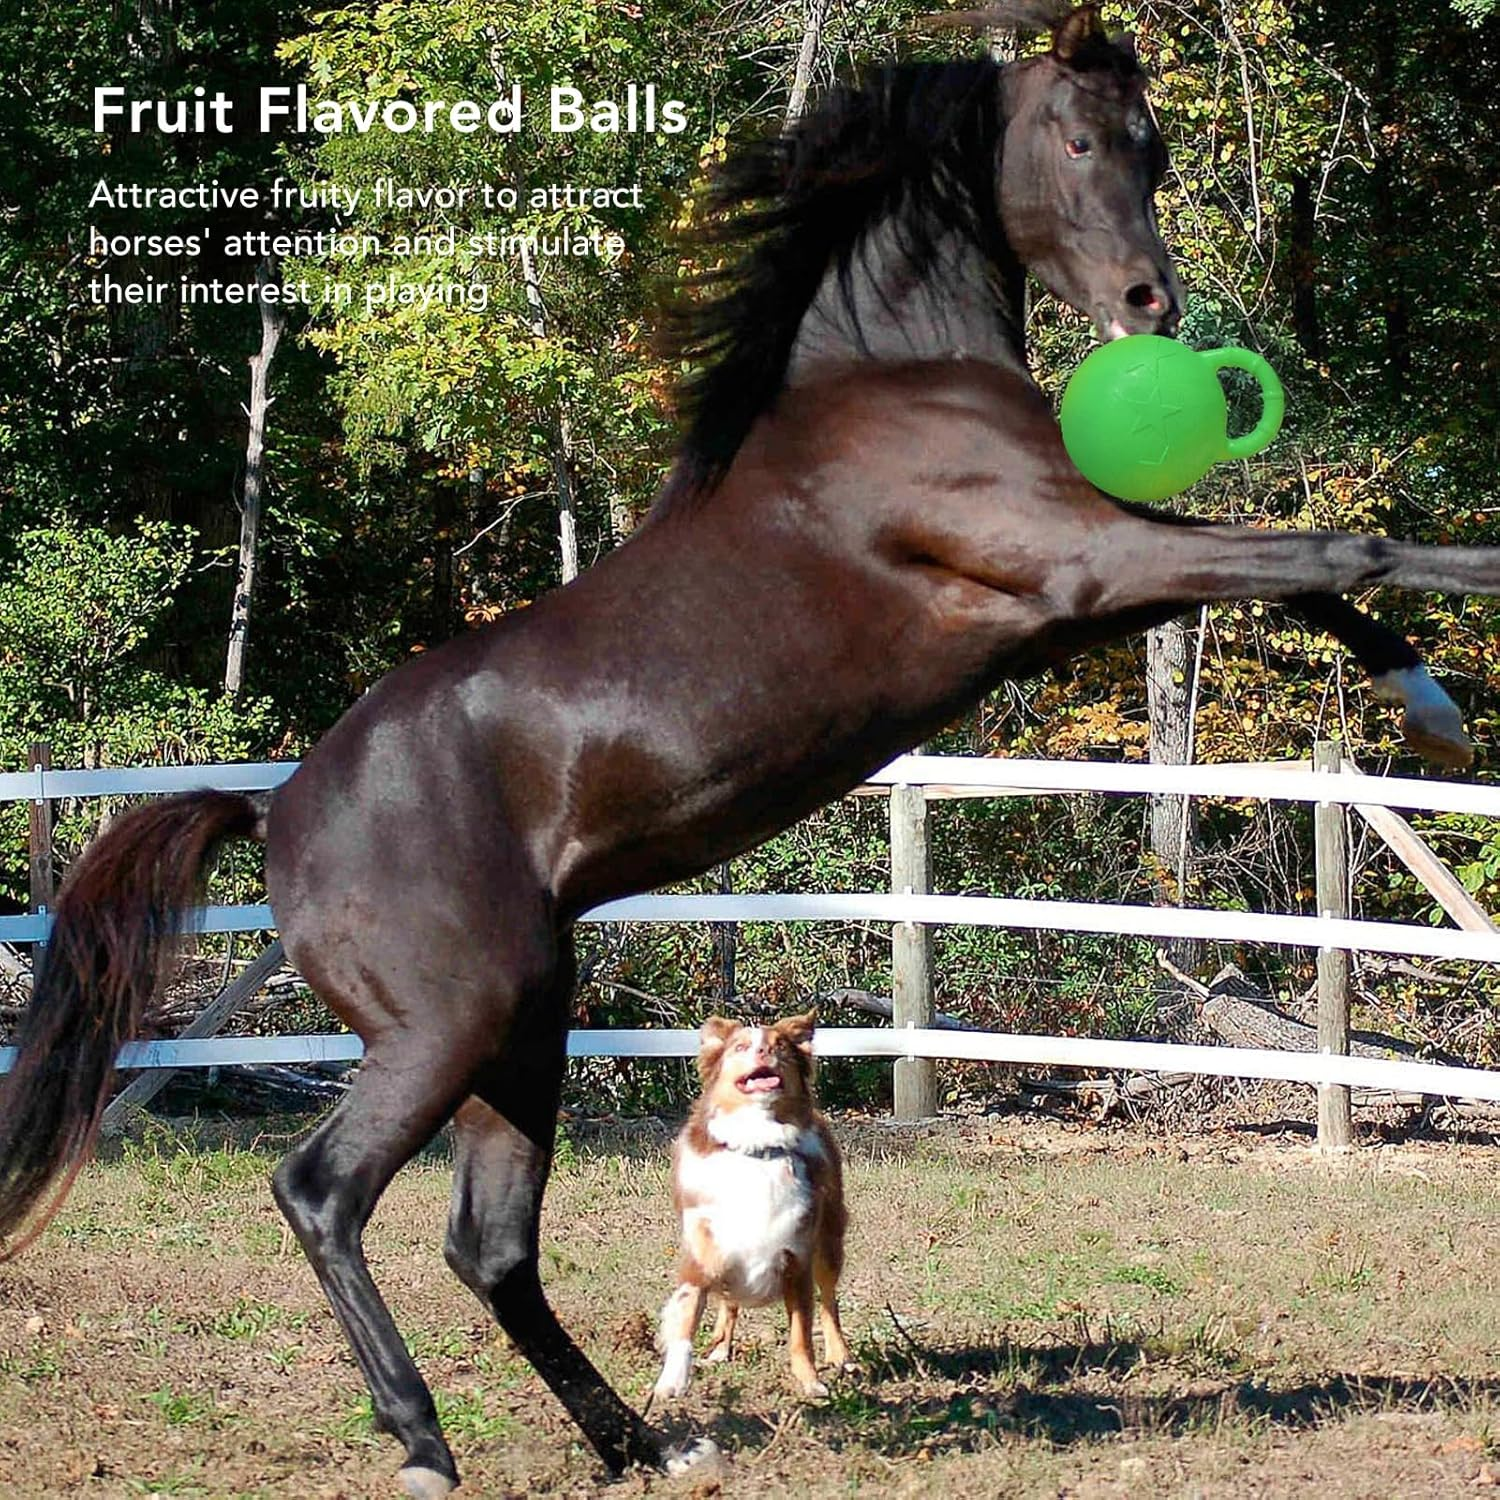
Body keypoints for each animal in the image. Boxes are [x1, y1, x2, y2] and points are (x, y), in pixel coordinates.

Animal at [2, 5, 1496, 1494]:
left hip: (522, 1029)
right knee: (323, 1192)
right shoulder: (1077, 567)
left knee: (491, 1244)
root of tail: (283, 817)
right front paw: (1466, 617)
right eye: (1076, 139)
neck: (890, 382)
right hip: (448, 1026)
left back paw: (642, 1443)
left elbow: (1299, 569)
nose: (1150, 307)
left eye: (1159, 145)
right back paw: (425, 1441)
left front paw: (1427, 698)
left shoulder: (1086, 584)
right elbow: (1329, 546)